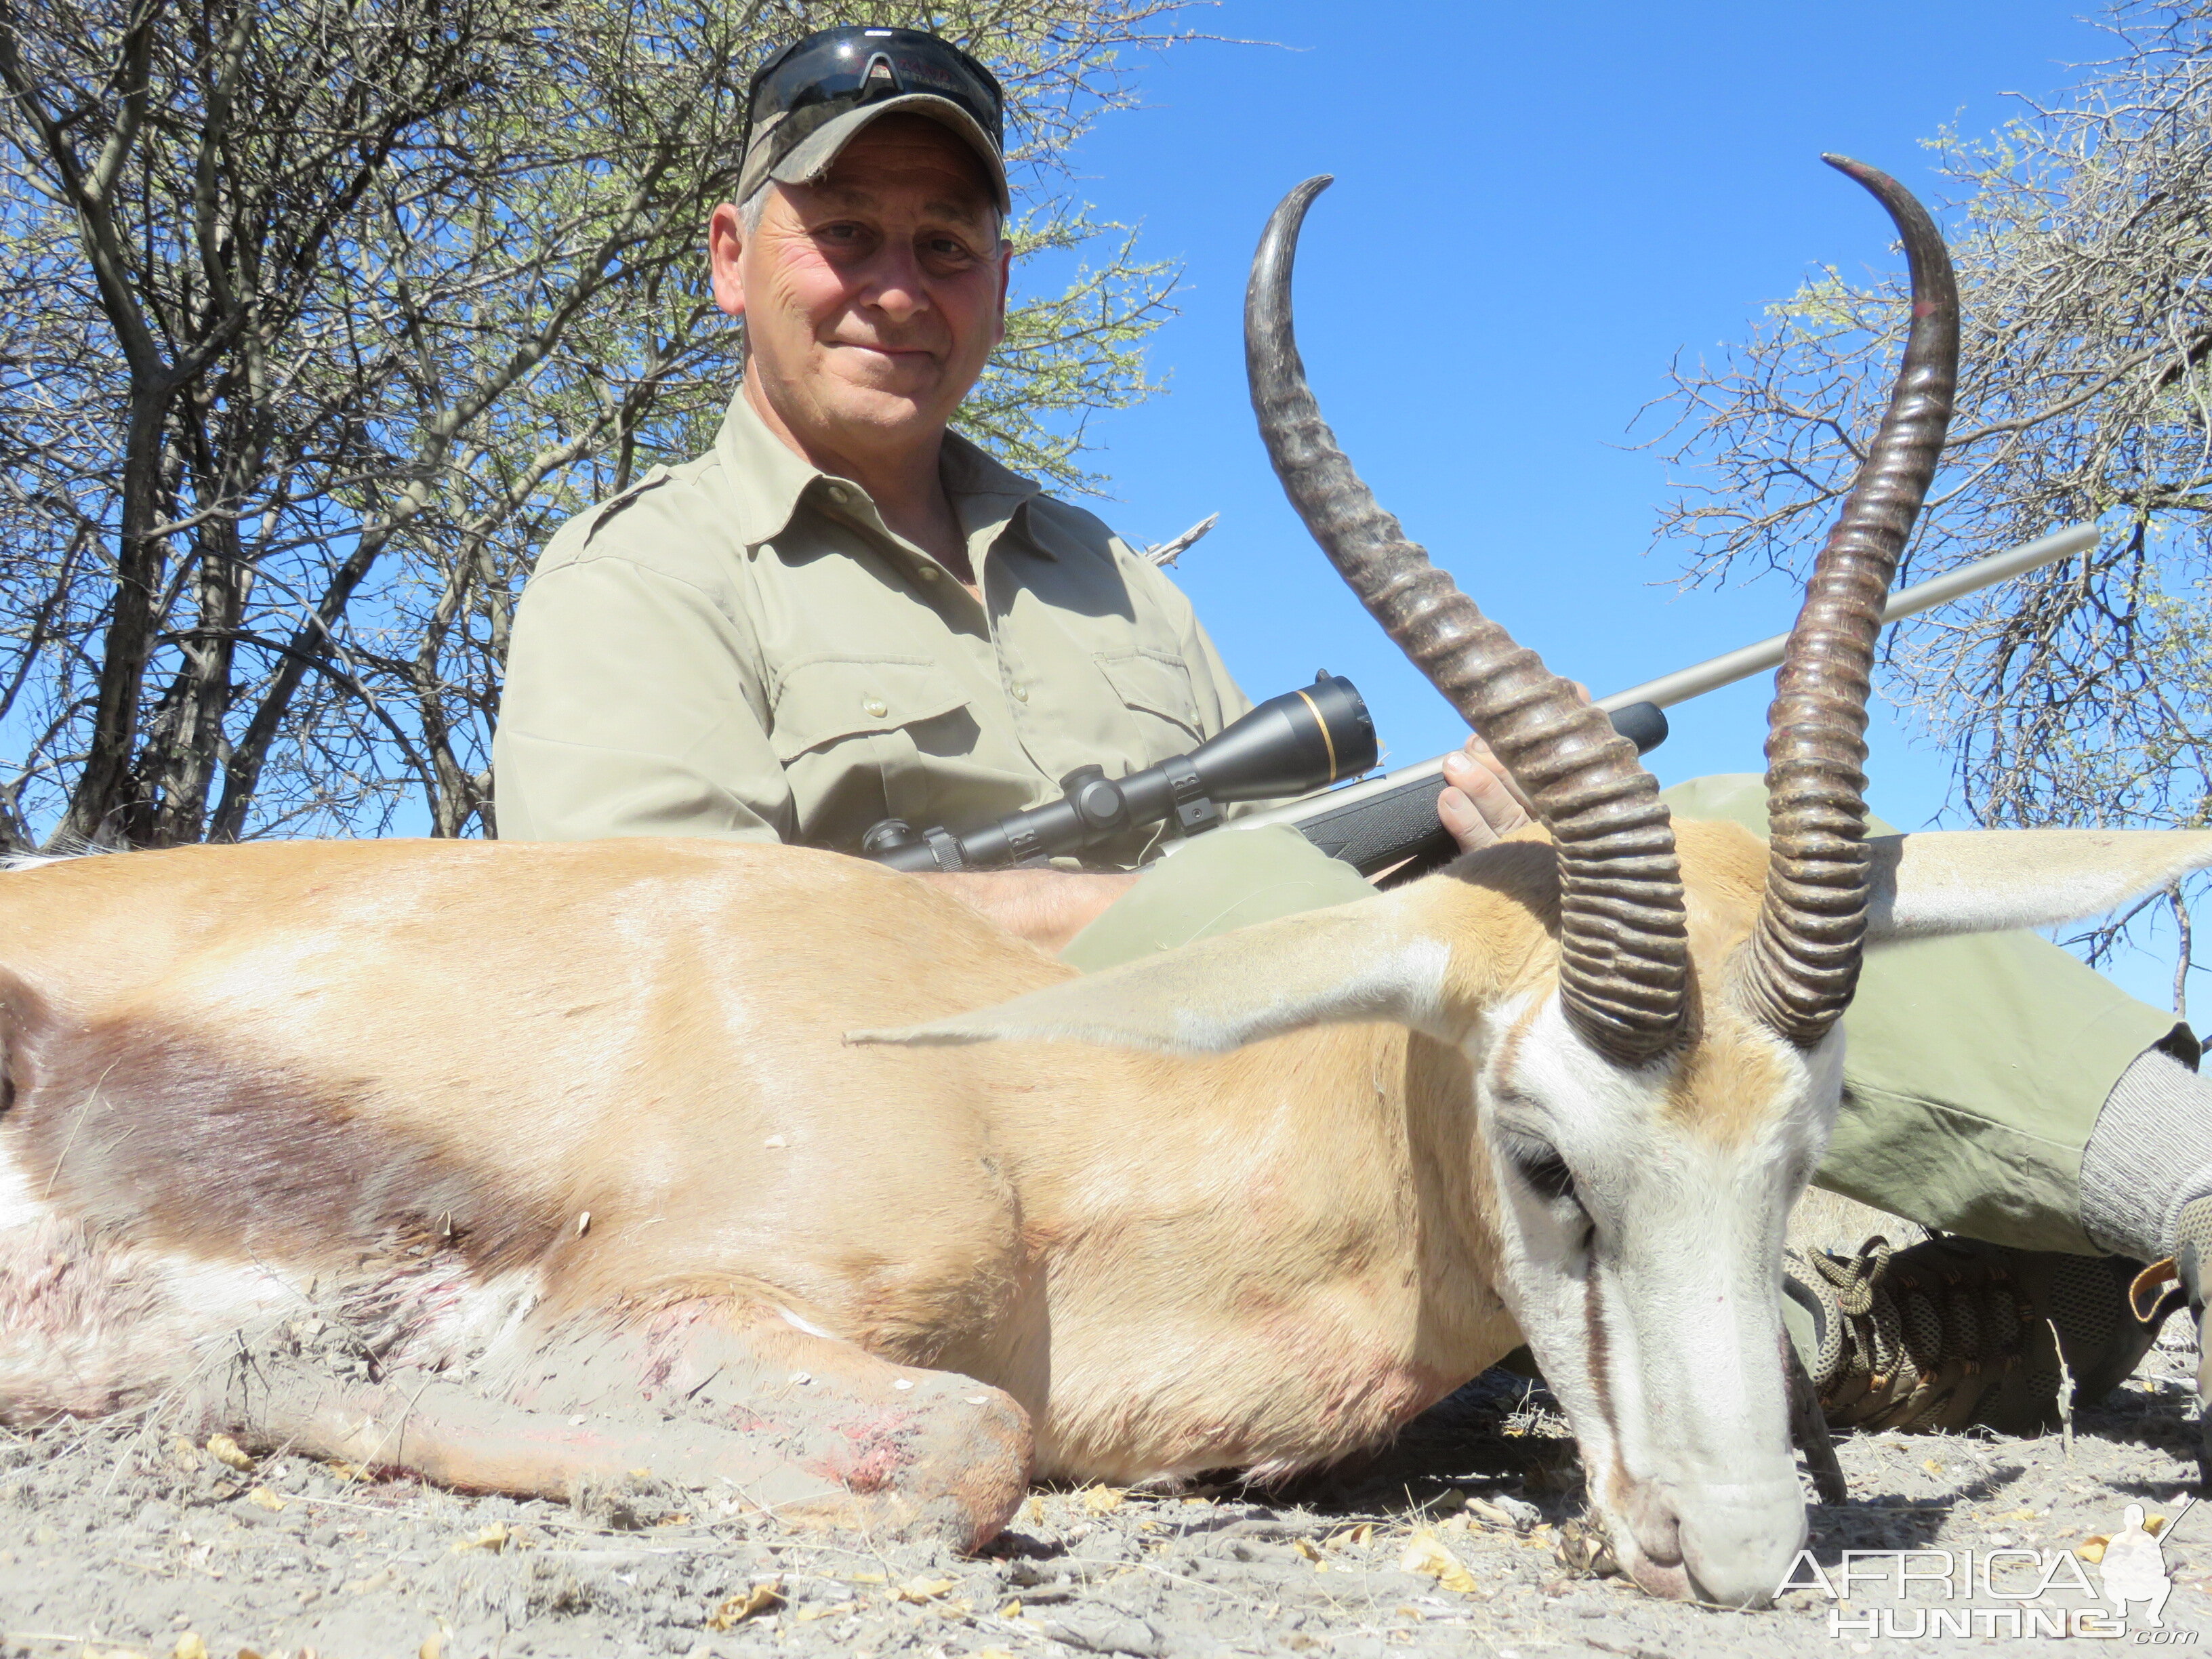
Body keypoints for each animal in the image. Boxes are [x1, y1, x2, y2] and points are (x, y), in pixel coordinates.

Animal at [0, 159, 2194, 1610]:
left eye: (1807, 1130)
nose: (1731, 1550)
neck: (1032, 1112)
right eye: (1546, 1153)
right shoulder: (673, 1306)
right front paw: (263, 1379)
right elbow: (965, 1446)